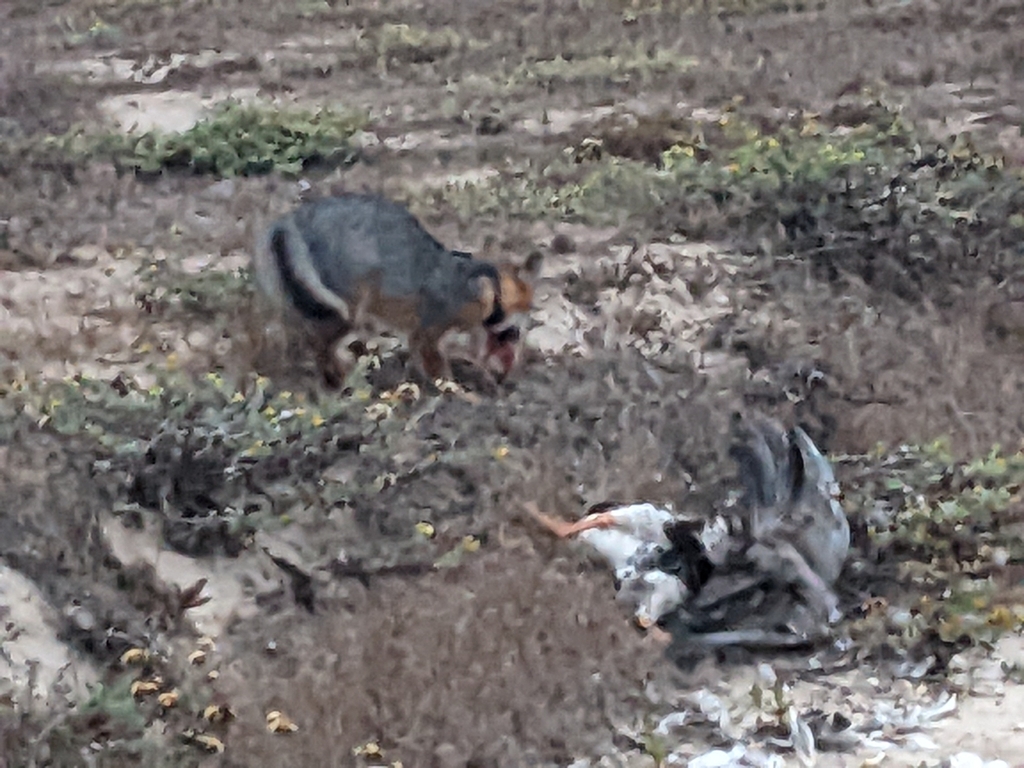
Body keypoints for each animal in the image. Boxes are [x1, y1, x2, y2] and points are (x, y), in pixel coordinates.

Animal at [252, 193, 542, 387]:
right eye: (514, 333)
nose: (507, 378)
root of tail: (290, 219)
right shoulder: (426, 335)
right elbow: (441, 373)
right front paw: (458, 395)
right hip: (350, 309)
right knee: (318, 345)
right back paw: (343, 381)